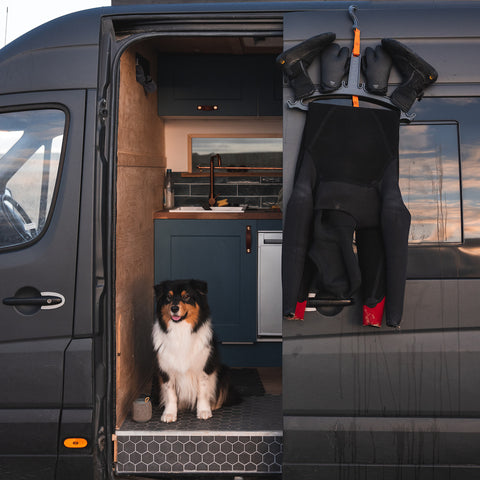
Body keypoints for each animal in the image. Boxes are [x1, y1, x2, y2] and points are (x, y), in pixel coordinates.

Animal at [152, 280, 238, 422]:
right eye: (168, 297)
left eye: (186, 296)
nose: (174, 308)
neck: (180, 331)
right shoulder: (166, 370)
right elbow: (170, 394)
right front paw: (169, 413)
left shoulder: (203, 368)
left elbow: (202, 391)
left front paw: (203, 410)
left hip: (224, 371)